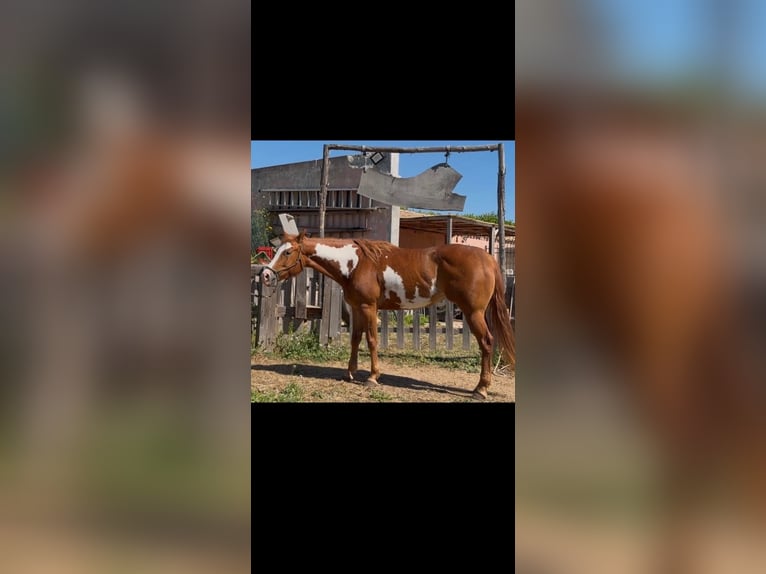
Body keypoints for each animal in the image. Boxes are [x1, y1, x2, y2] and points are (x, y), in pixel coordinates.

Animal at [261, 231, 515, 400]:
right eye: (277, 250)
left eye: (288, 252)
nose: (265, 275)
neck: (355, 264)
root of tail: (488, 259)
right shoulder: (356, 308)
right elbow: (355, 339)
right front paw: (350, 373)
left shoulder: (369, 307)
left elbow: (372, 340)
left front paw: (373, 377)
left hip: (474, 313)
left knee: (487, 343)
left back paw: (481, 389)